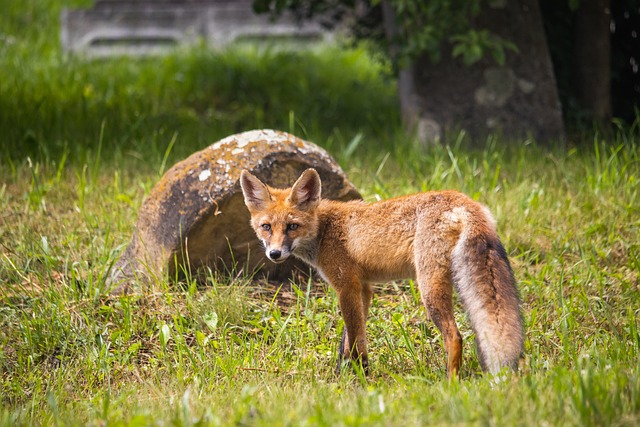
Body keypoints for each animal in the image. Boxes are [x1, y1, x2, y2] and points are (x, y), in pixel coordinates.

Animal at [240, 169, 524, 380]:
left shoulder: (346, 286)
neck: (324, 231)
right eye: (266, 227)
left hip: (429, 287)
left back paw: (449, 381)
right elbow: (349, 340)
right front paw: (344, 372)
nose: (275, 254)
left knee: (455, 336)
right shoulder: (364, 288)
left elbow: (354, 338)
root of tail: (463, 201)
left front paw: (360, 378)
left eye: (292, 226)